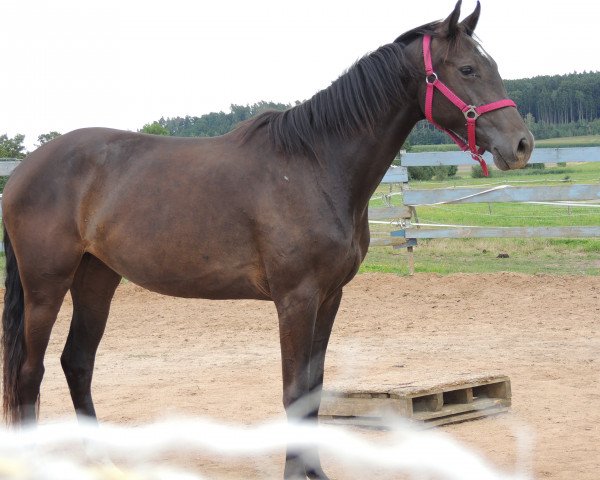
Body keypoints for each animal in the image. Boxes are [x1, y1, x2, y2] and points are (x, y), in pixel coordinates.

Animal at [2, 1, 532, 478]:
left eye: (492, 67)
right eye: (467, 68)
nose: (521, 145)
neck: (316, 165)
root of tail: (25, 169)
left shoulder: (330, 297)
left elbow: (313, 389)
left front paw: (314, 470)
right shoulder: (296, 298)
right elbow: (293, 391)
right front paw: (296, 472)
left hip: (96, 278)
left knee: (77, 362)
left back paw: (102, 460)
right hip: (46, 285)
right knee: (30, 372)